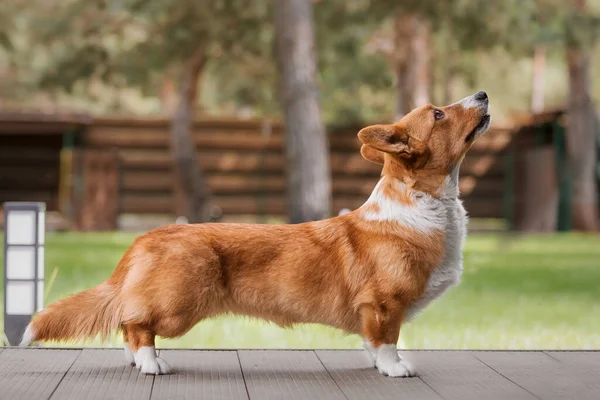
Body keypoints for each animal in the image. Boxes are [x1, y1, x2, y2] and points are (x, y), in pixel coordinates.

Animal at [22, 91, 492, 378]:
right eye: (438, 114)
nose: (483, 95)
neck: (423, 203)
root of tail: (144, 239)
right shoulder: (383, 304)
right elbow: (388, 340)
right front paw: (395, 368)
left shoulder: (371, 311)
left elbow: (371, 342)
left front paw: (377, 364)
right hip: (177, 307)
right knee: (136, 324)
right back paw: (151, 363)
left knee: (126, 321)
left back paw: (136, 361)